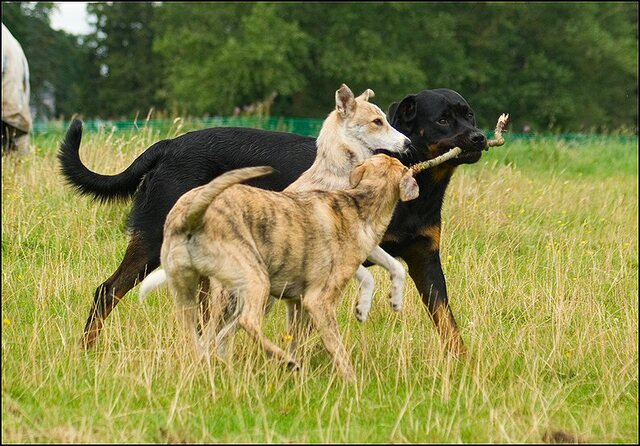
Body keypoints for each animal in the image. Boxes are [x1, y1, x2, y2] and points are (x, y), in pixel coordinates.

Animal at [60, 89, 488, 356]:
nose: (480, 137)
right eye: (443, 120)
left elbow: (447, 323)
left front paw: (462, 366)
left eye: (469, 114)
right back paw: (87, 351)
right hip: (153, 242)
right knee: (107, 291)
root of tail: (167, 145)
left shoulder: (426, 260)